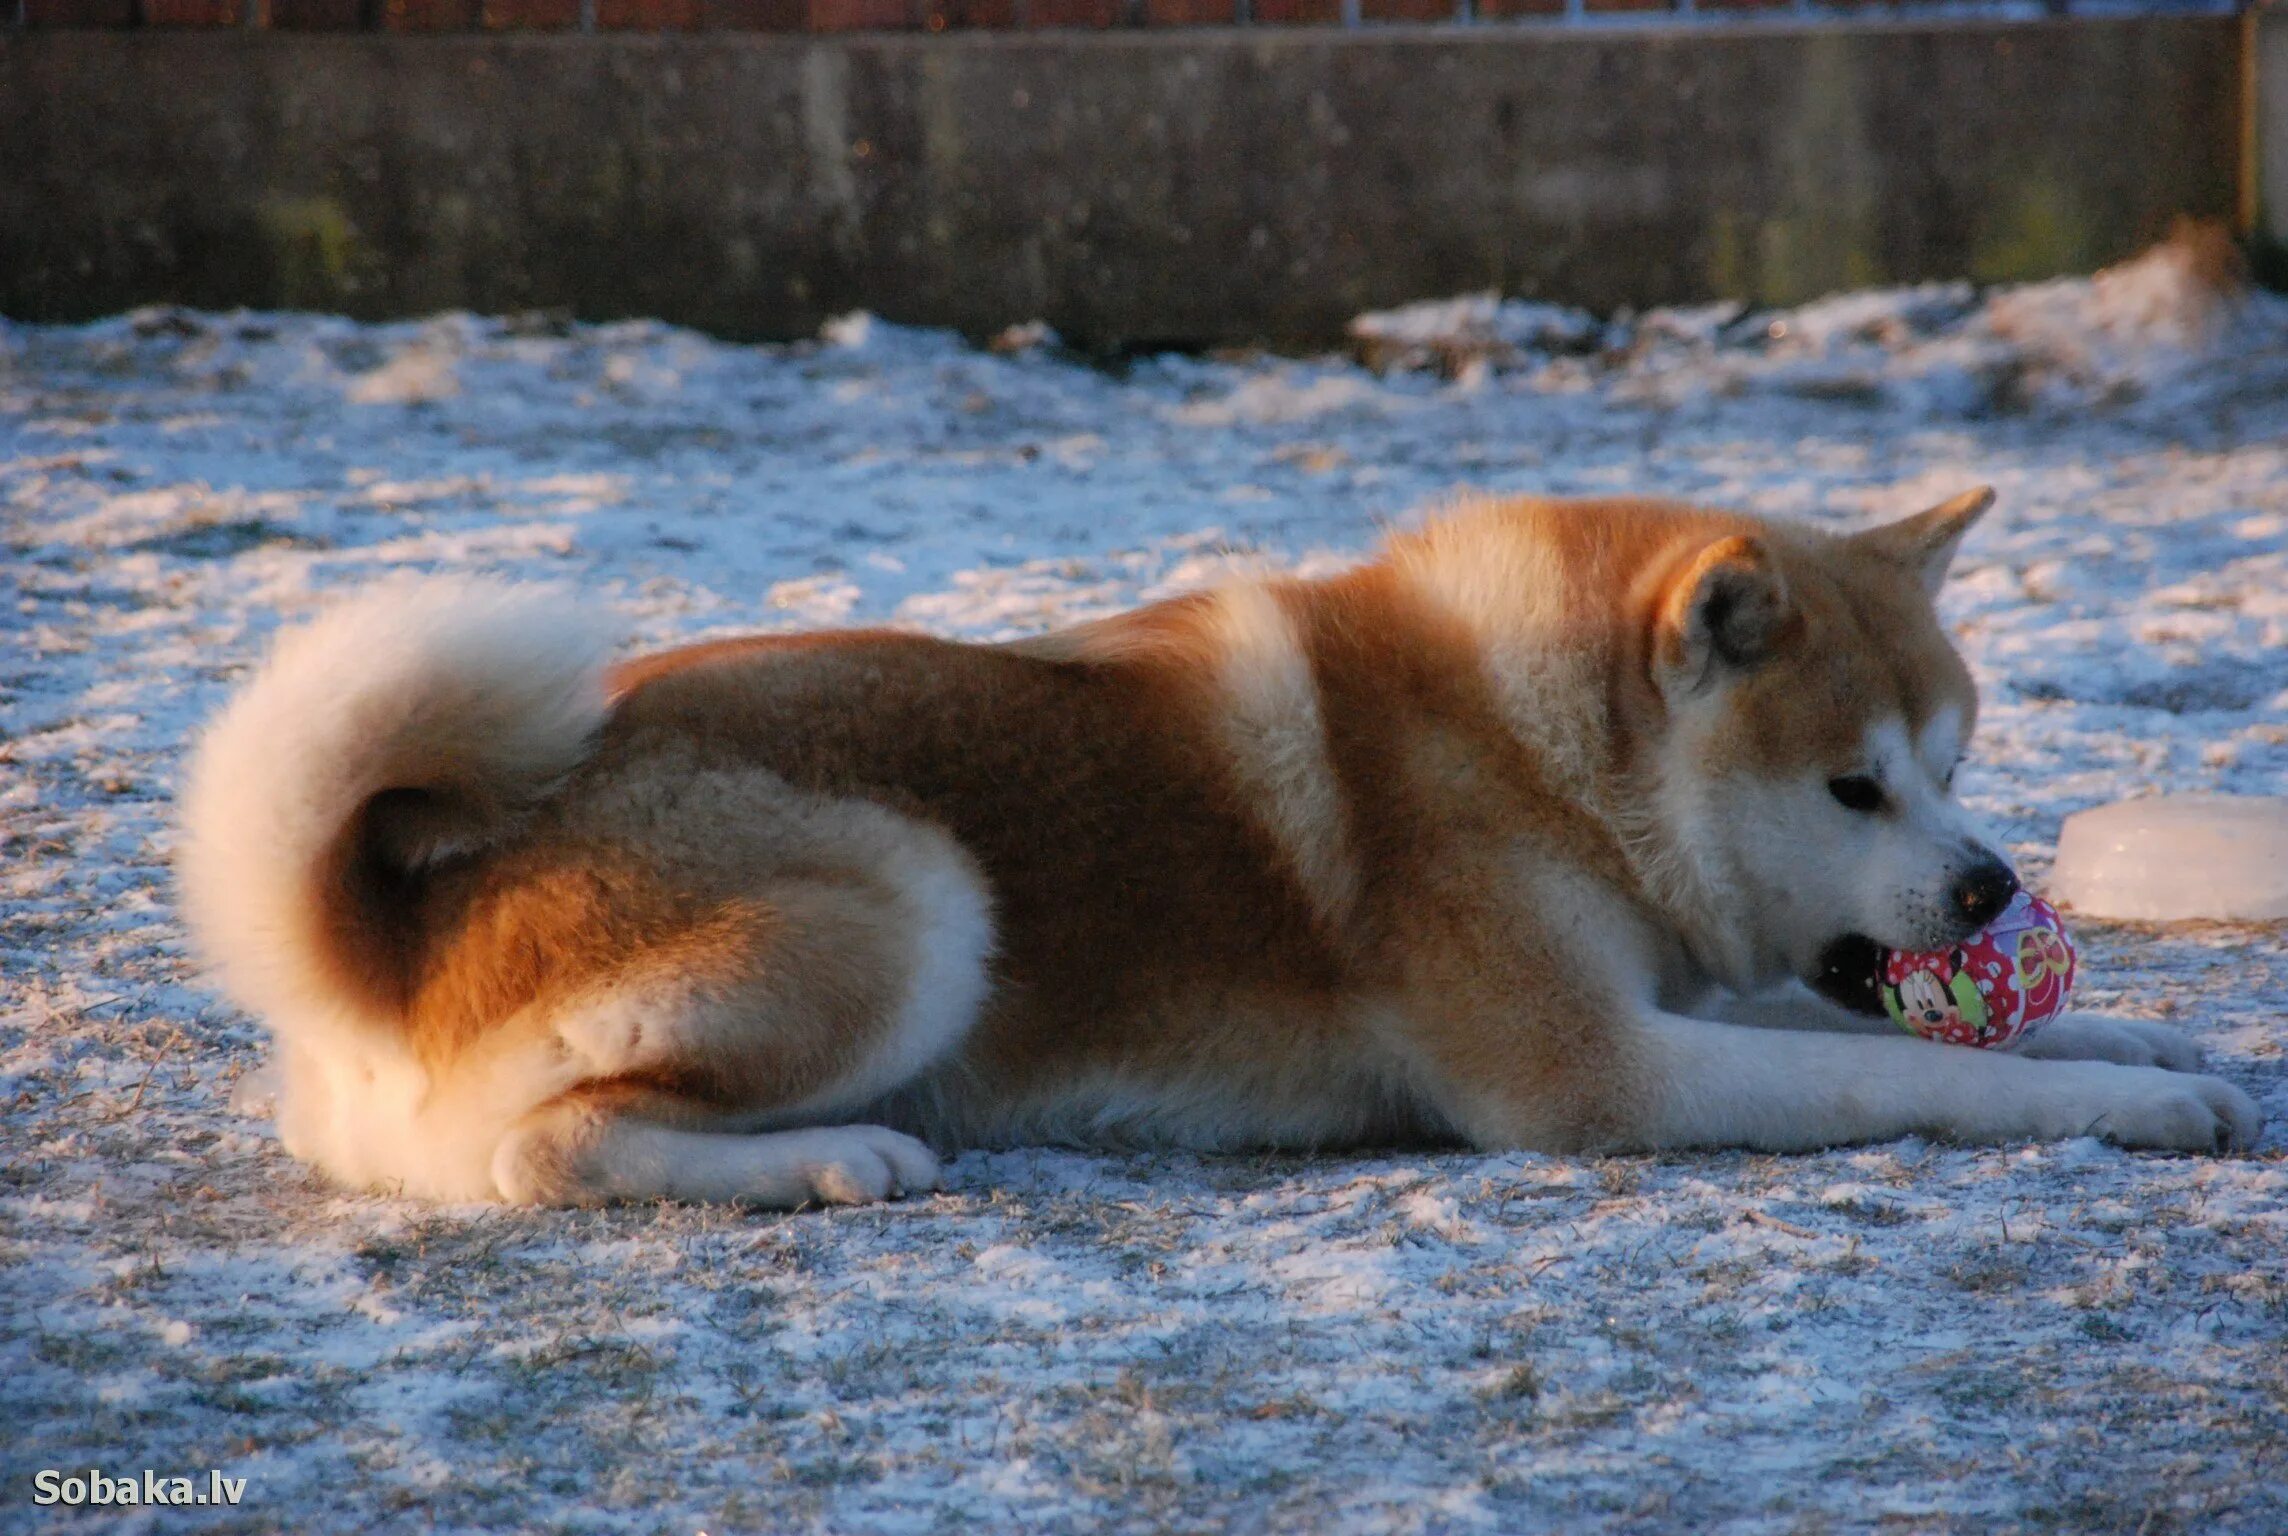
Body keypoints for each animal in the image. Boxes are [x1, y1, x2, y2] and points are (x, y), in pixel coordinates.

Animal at [173, 492, 2251, 1217]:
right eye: (1848, 789)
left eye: (1950, 766)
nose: (1988, 890)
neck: (1538, 746)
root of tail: (384, 935)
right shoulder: (1597, 1073)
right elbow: (1924, 1077)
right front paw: (2128, 1105)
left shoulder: (1669, 1000)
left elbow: (1901, 1034)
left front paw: (2151, 1042)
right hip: (916, 896)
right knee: (543, 1153)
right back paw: (834, 1160)